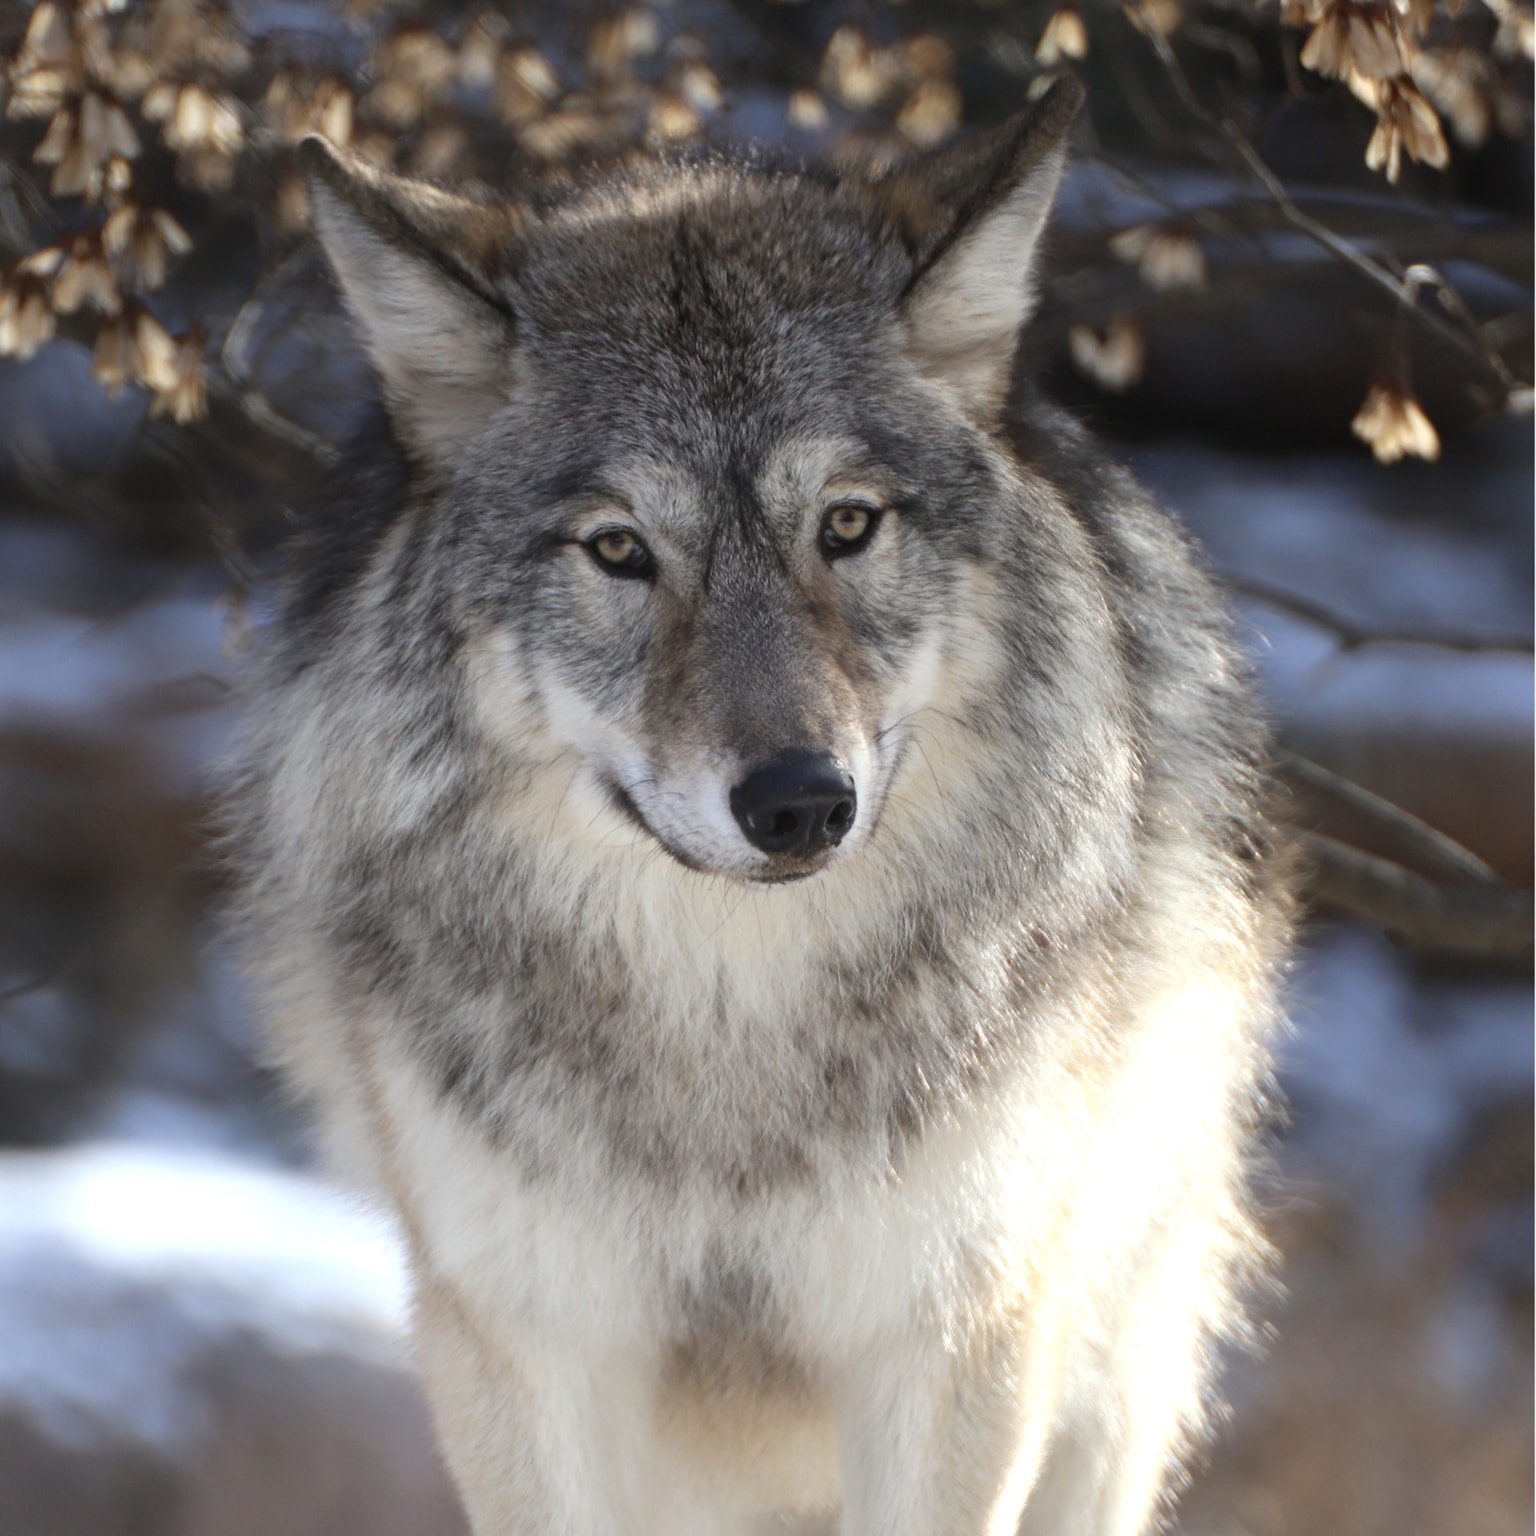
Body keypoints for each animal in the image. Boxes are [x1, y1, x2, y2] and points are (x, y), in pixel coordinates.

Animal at [222, 81, 1290, 1536]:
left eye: (844, 526)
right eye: (621, 549)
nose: (798, 804)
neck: (733, 1033)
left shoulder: (956, 1338)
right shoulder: (522, 1345)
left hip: (1115, 1389)